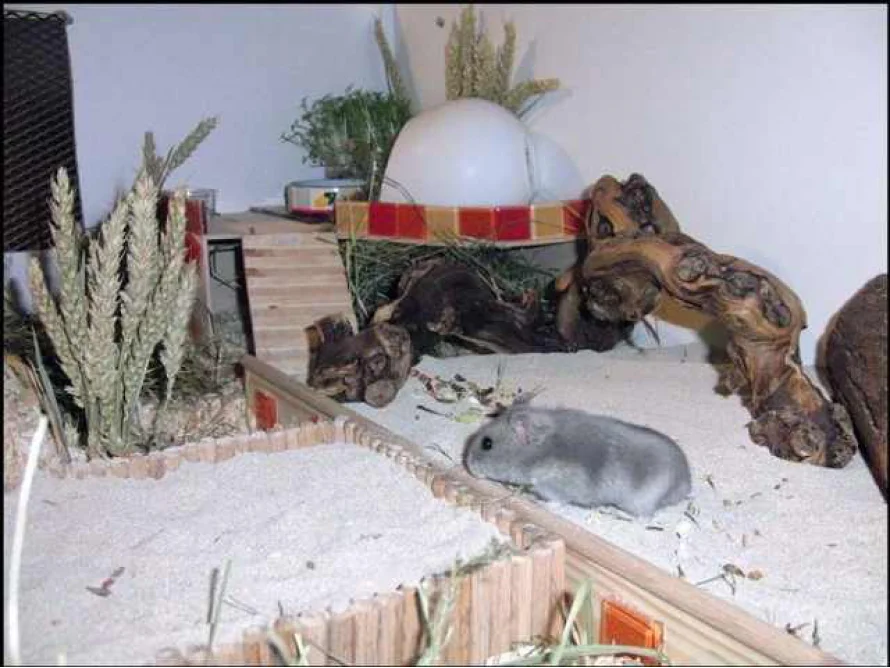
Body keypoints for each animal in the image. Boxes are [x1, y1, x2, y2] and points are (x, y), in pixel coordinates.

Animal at [463, 398, 692, 518]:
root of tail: (686, 484)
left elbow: (557, 502)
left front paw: (539, 505)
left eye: (487, 444)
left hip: (640, 500)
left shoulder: (552, 487)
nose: (468, 466)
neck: (538, 450)